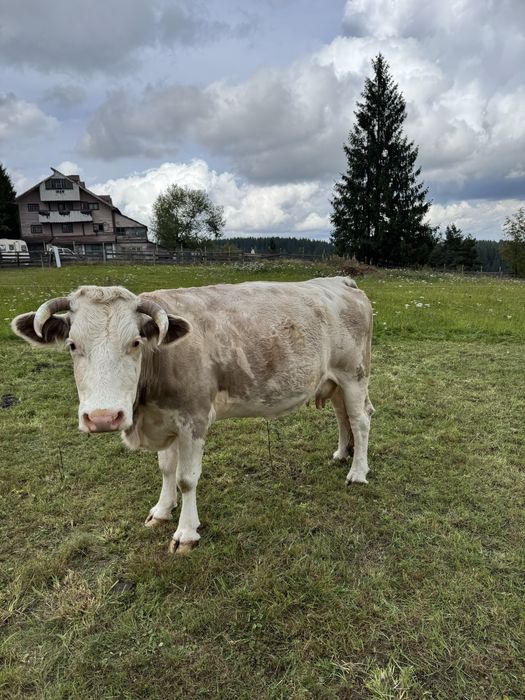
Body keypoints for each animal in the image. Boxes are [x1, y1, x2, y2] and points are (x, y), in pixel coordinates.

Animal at [11, 277, 374, 554]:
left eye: (136, 342)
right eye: (72, 345)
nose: (103, 417)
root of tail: (340, 281)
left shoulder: (194, 419)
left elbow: (187, 478)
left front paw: (186, 532)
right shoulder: (165, 419)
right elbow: (166, 469)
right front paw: (161, 510)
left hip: (354, 374)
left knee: (361, 419)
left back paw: (358, 471)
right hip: (333, 379)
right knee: (342, 414)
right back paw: (343, 452)